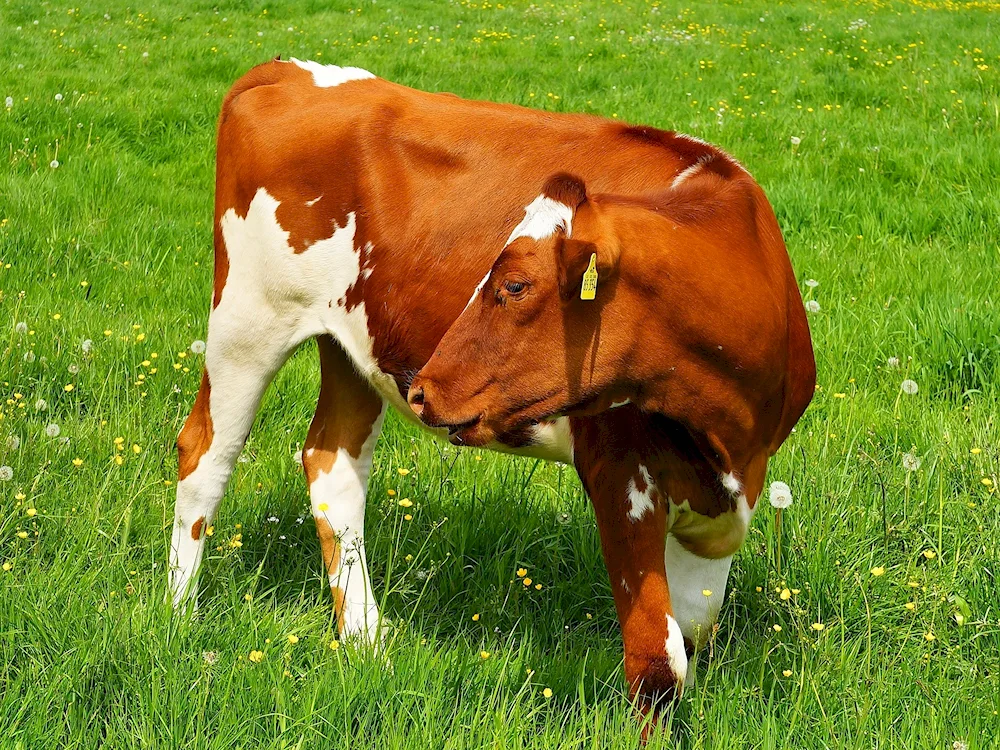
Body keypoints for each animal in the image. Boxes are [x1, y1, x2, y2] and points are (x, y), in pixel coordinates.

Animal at [170, 58, 812, 724]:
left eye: (514, 285)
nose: (424, 388)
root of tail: (286, 70)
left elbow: (693, 630)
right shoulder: (619, 471)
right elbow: (658, 666)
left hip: (350, 344)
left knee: (332, 464)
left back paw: (368, 643)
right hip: (248, 318)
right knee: (205, 454)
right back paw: (181, 618)